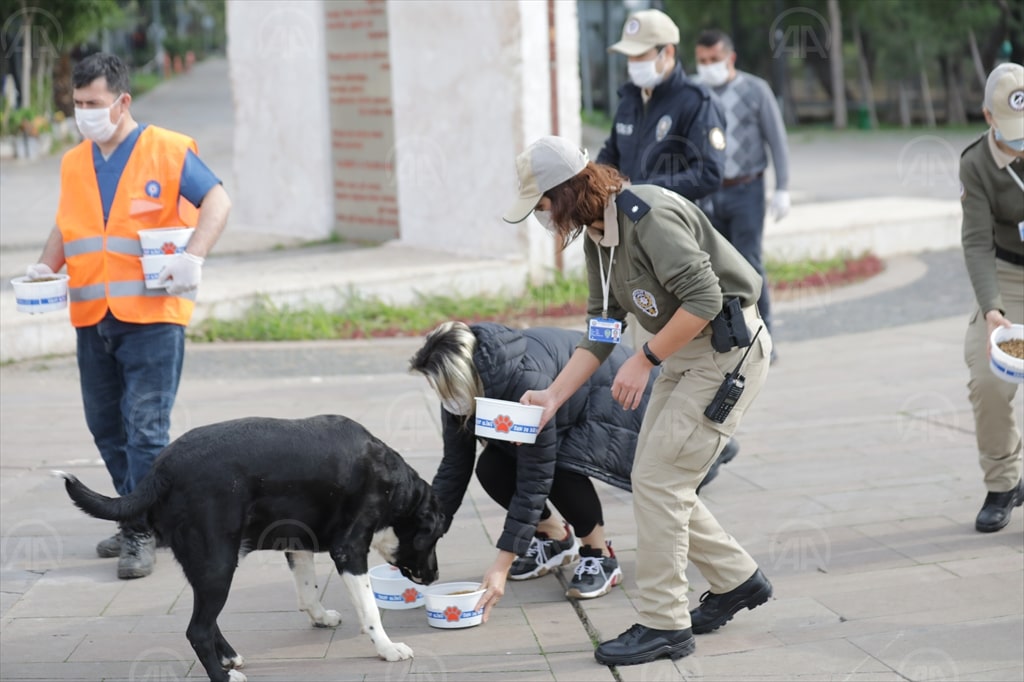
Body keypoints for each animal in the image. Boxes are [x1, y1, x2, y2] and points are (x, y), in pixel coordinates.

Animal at [51, 411, 444, 679]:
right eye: (437, 537)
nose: (435, 577)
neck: (395, 487)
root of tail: (160, 469)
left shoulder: (297, 540)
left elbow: (307, 591)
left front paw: (320, 617)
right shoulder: (349, 550)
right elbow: (370, 610)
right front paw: (387, 648)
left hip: (208, 566)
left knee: (206, 621)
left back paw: (228, 657)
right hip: (218, 563)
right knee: (197, 629)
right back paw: (224, 675)